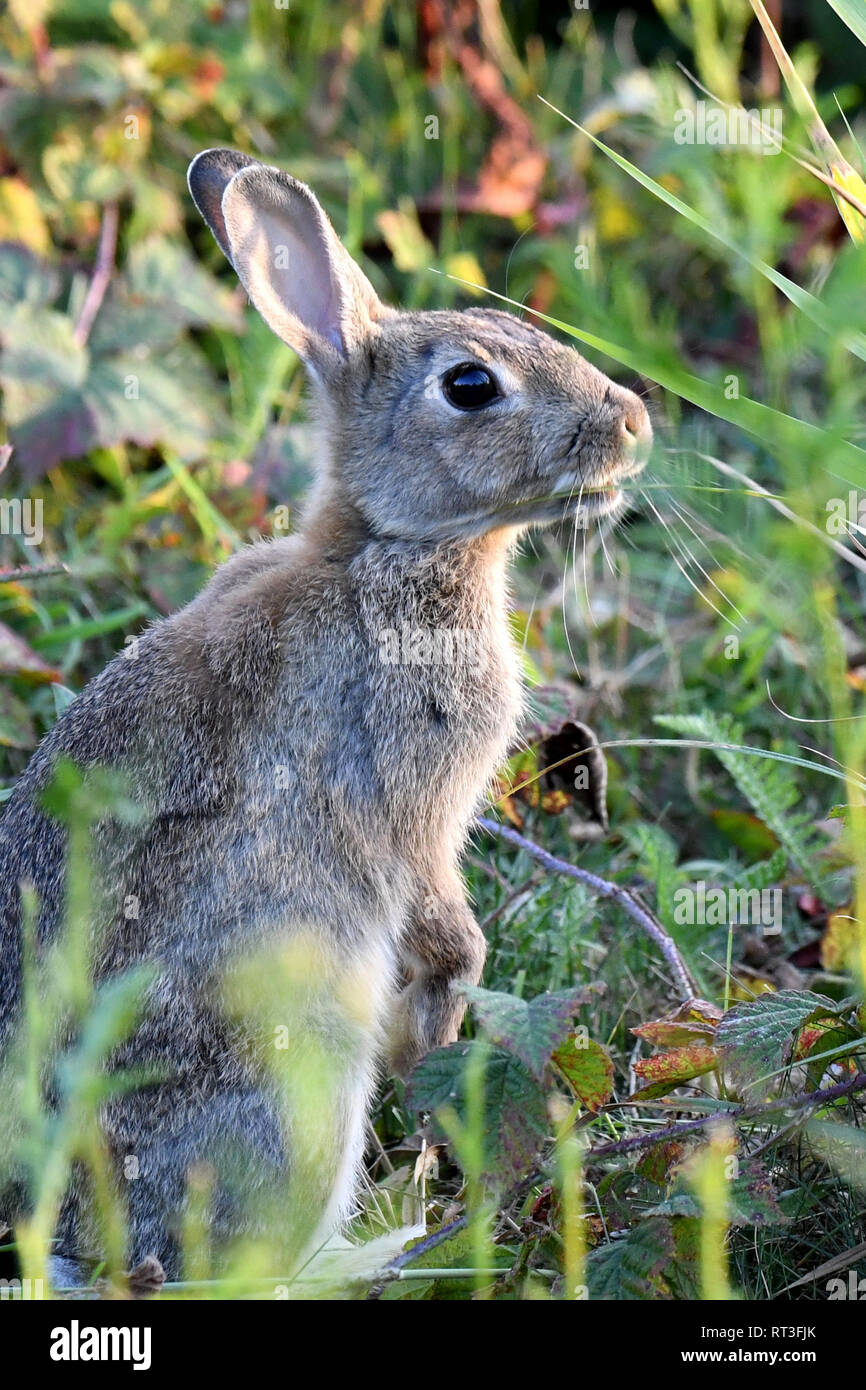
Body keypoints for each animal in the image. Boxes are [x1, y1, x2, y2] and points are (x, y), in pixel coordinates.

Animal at [0, 148, 651, 1282]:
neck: (385, 547)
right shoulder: (410, 804)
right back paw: (389, 1244)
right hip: (294, 1079)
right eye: (471, 385)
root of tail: (79, 1241)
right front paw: (448, 1010)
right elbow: (441, 919)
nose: (633, 423)